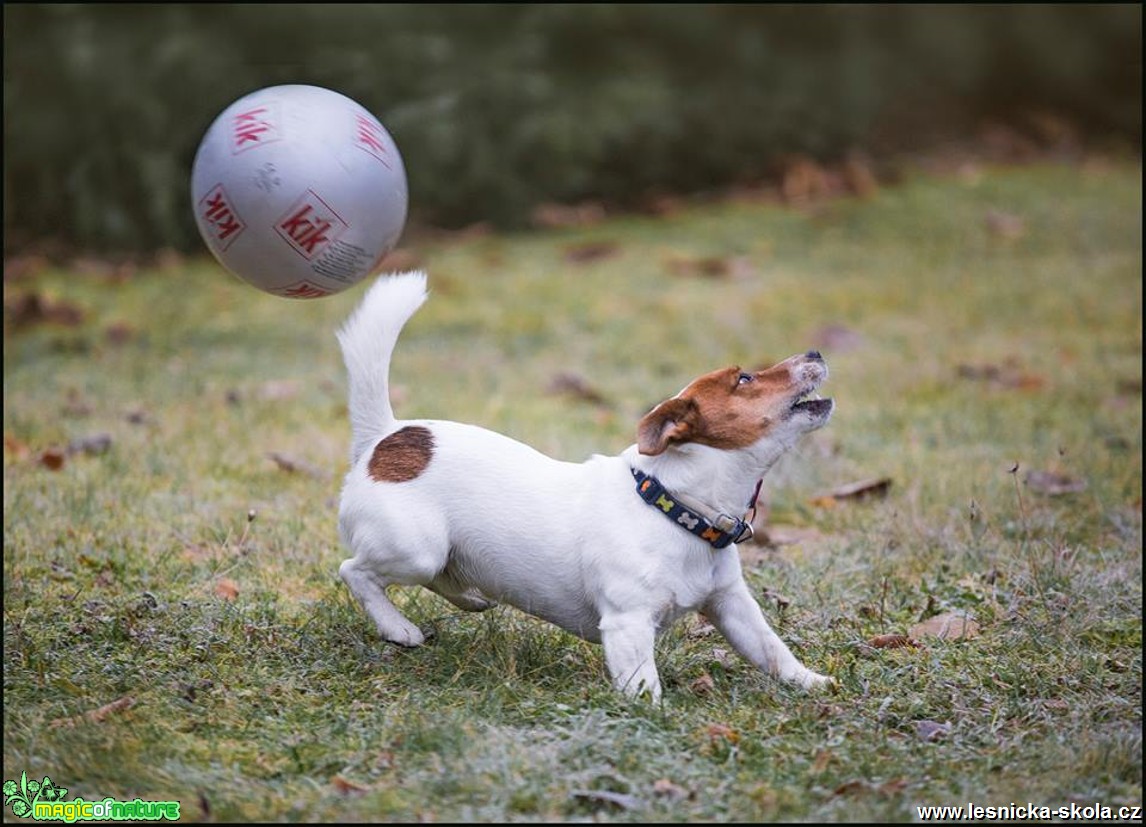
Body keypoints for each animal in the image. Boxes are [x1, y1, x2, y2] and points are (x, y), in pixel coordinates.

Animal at [334, 270, 834, 696]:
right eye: (745, 378)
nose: (815, 352)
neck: (675, 506)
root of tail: (385, 436)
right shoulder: (628, 624)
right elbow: (644, 684)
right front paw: (651, 716)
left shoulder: (731, 606)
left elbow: (772, 650)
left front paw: (812, 682)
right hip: (416, 549)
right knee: (355, 571)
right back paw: (397, 628)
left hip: (439, 555)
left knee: (441, 579)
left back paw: (471, 600)